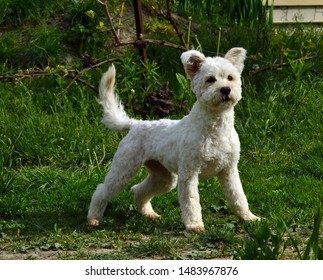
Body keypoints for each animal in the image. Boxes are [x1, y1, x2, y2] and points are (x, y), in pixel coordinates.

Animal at [88, 47, 260, 232]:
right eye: (210, 79)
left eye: (230, 77)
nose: (226, 90)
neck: (216, 129)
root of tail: (134, 124)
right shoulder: (189, 174)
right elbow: (191, 202)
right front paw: (194, 225)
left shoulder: (229, 170)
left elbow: (238, 197)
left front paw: (249, 217)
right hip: (123, 169)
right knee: (102, 190)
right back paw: (93, 219)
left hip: (163, 178)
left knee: (138, 191)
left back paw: (149, 214)